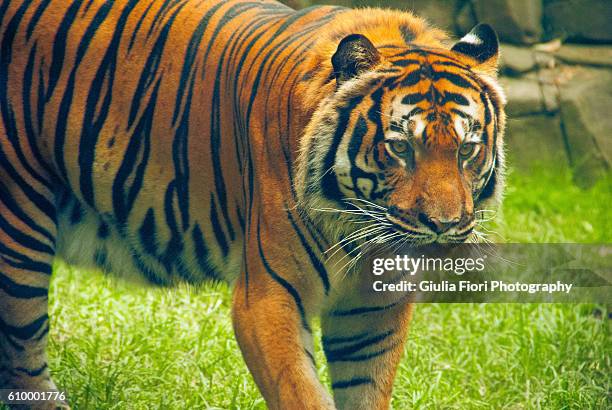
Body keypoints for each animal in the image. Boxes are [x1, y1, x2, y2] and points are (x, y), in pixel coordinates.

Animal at [0, 0, 506, 408]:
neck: (358, 235)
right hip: (19, 223)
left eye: (466, 149)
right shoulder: (268, 297)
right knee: (23, 345)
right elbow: (301, 394)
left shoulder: (372, 313)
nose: (444, 225)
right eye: (401, 148)